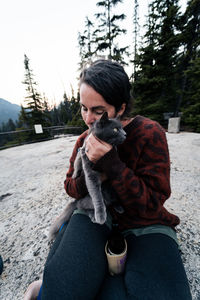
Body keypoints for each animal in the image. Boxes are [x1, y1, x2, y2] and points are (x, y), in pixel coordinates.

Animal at [49, 111, 126, 240]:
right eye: (115, 129)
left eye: (122, 128)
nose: (125, 134)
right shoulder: (88, 167)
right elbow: (97, 196)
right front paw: (100, 216)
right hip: (86, 201)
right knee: (81, 207)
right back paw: (94, 215)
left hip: (110, 191)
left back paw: (119, 207)